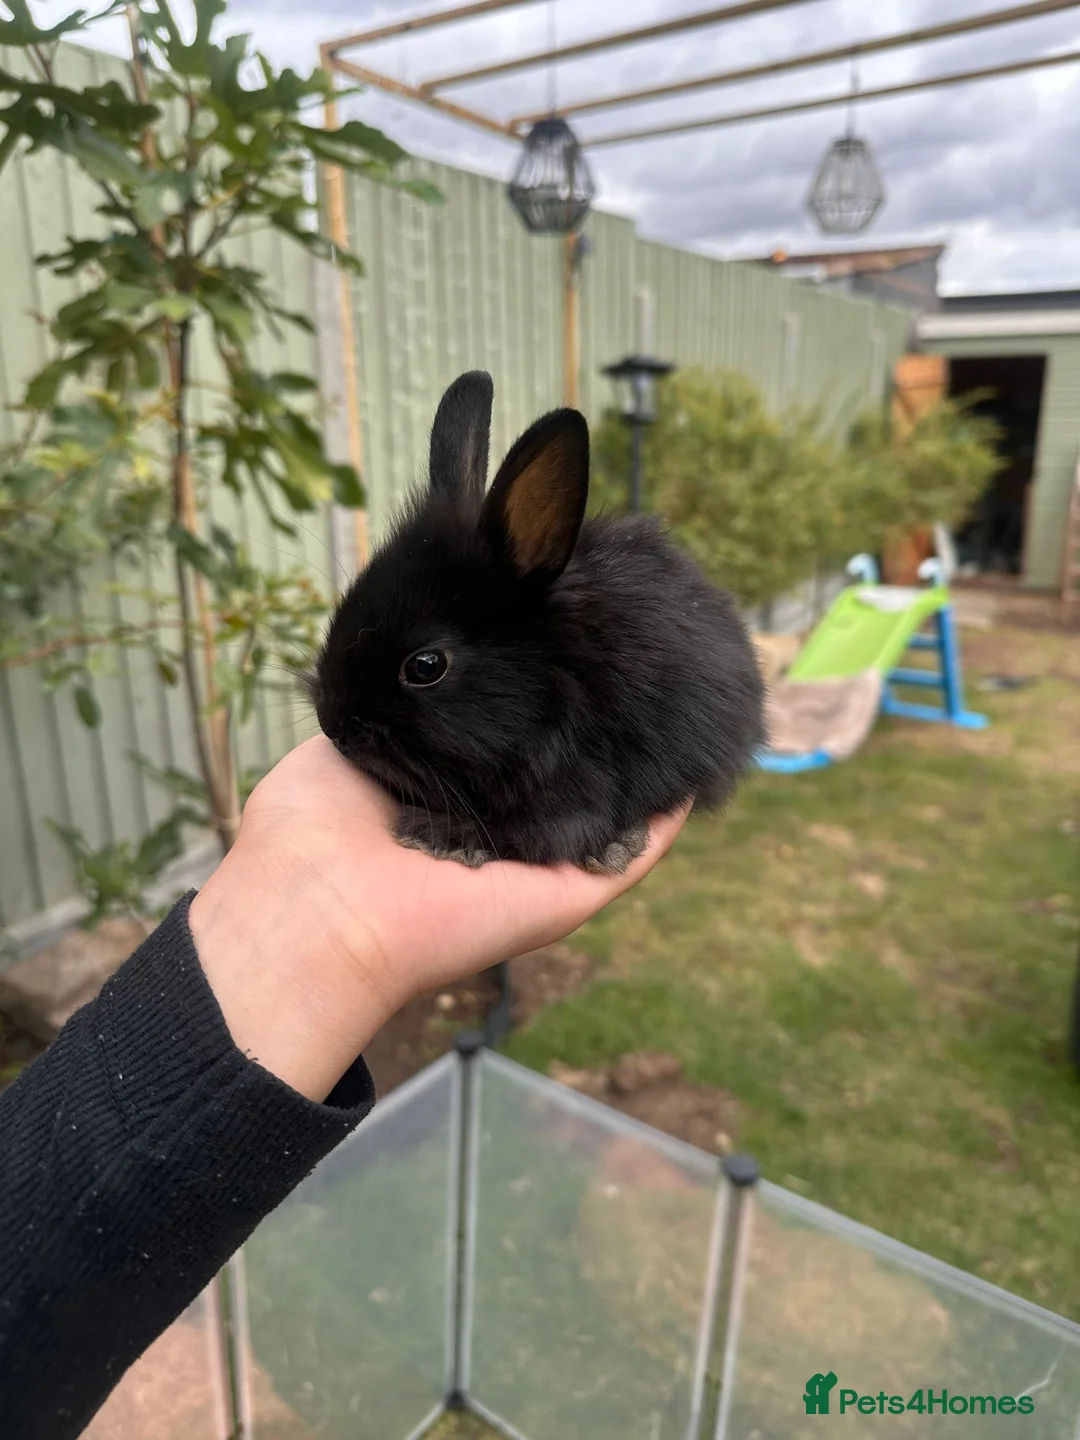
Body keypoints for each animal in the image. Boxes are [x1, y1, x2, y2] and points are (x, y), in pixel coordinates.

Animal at [311, 370, 765, 874]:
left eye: (426, 666)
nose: (333, 725)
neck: (552, 685)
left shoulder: (575, 797)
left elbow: (534, 835)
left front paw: (438, 835)